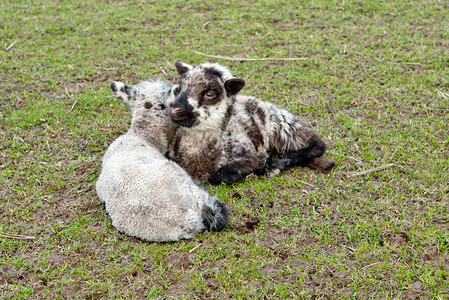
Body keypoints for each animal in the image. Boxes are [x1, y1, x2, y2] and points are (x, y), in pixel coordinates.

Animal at [167, 61, 332, 184]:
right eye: (179, 88)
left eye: (210, 93)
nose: (175, 109)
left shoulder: (246, 154)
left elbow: (218, 177)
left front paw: (260, 167)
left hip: (283, 128)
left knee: (317, 145)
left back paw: (275, 164)